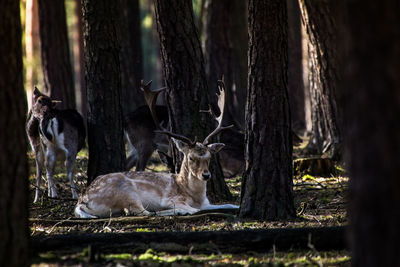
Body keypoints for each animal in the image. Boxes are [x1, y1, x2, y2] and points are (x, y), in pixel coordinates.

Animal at [73, 81, 239, 218]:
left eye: (209, 157)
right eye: (191, 157)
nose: (206, 175)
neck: (193, 194)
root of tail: (83, 201)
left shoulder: (206, 203)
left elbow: (230, 204)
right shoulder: (173, 199)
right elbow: (194, 209)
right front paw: (180, 209)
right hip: (126, 191)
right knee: (141, 212)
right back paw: (171, 211)